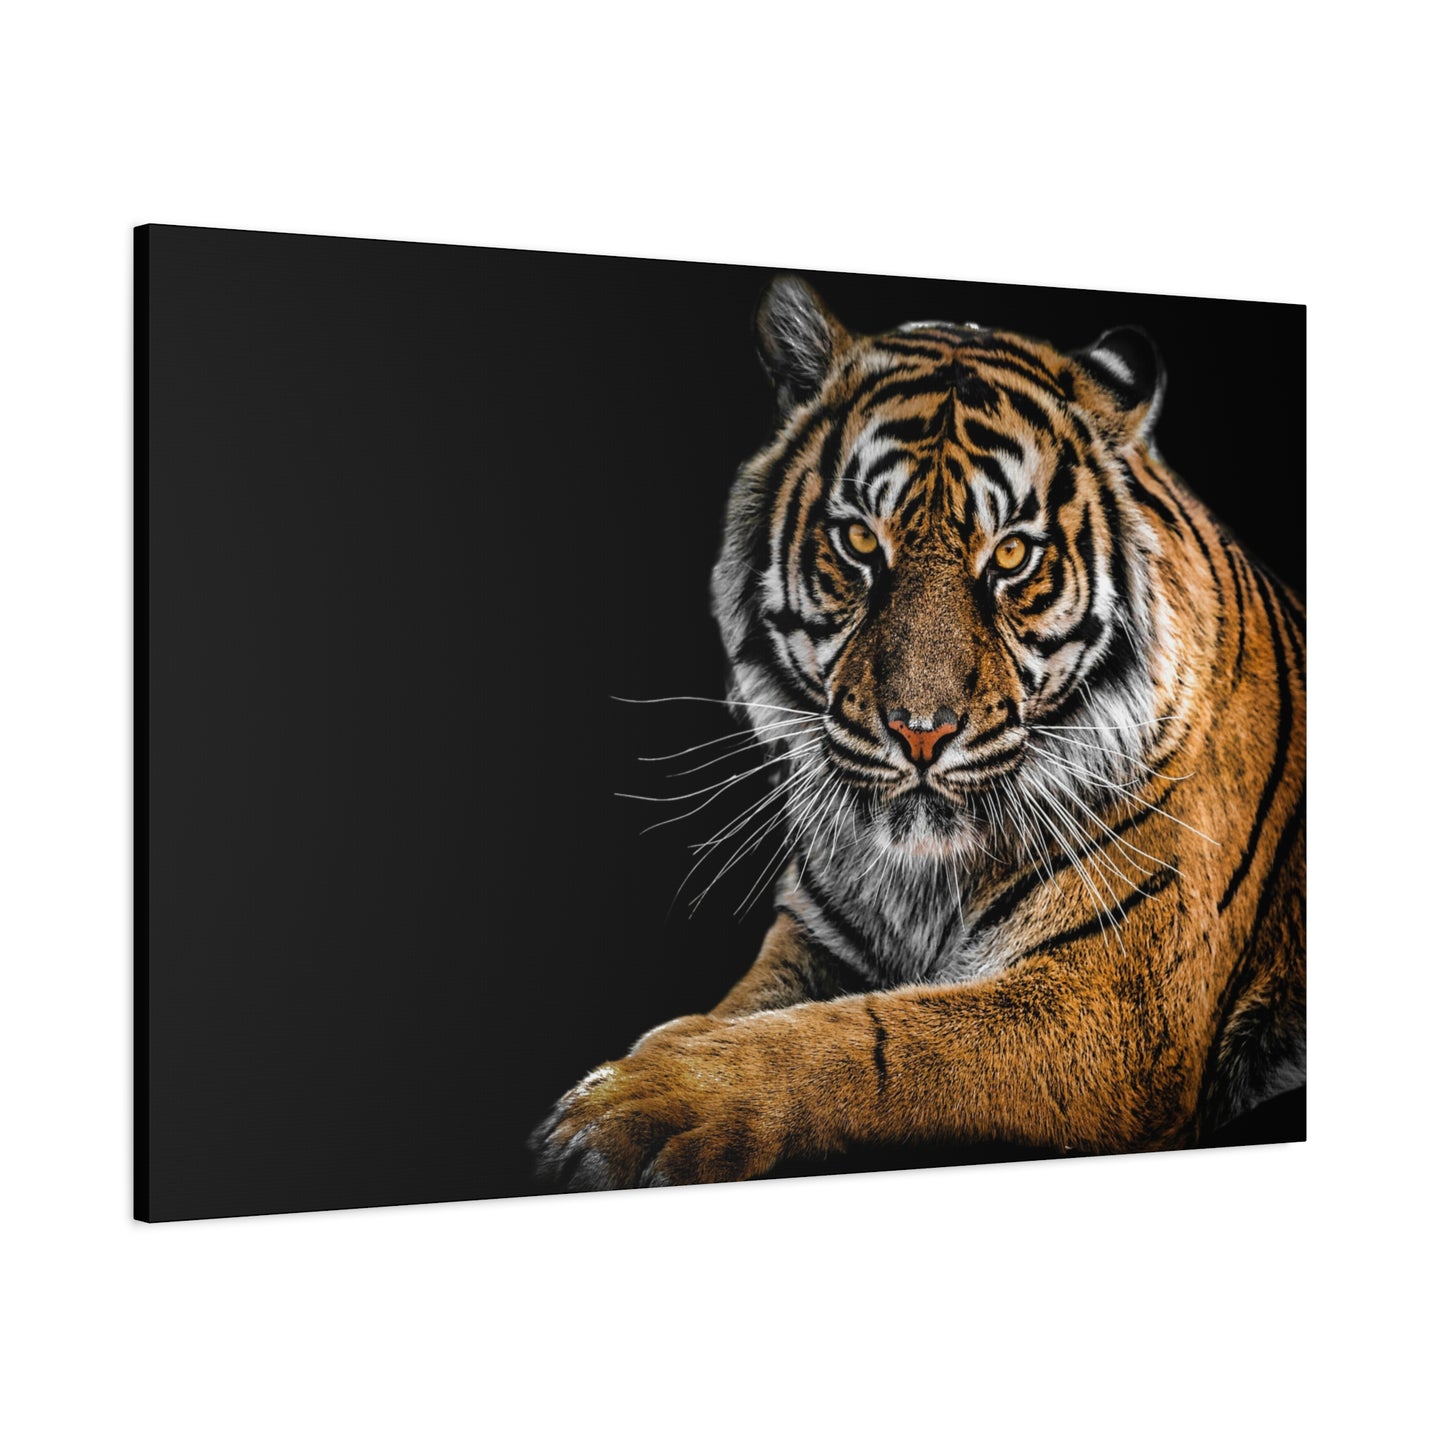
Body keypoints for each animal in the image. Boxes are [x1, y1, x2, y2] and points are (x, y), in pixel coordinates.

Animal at [531, 275, 1305, 1190]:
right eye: (859, 539)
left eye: (1009, 555)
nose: (920, 732)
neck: (920, 880)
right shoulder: (813, 935)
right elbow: (752, 1007)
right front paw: (654, 1051)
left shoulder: (1112, 1001)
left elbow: (868, 1039)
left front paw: (638, 1101)